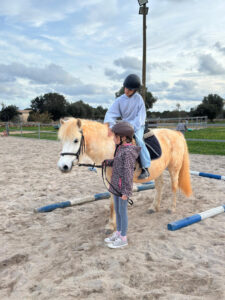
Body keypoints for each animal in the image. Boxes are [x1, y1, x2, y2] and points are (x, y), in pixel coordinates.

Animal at [56, 117, 192, 232]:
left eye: (76, 140)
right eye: (62, 140)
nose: (63, 166)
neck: (109, 147)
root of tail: (177, 134)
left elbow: (113, 203)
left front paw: (111, 225)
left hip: (174, 168)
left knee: (174, 187)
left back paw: (171, 208)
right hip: (159, 170)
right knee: (159, 186)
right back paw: (154, 207)